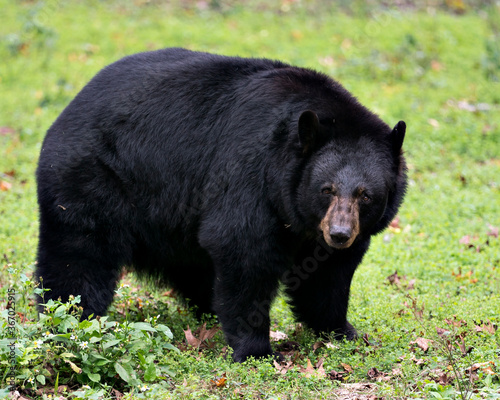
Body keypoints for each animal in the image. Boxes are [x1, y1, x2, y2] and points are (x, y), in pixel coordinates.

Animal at [36, 47, 406, 362]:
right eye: (326, 189)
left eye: (365, 195)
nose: (340, 234)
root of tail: (70, 106)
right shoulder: (250, 173)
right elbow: (243, 247)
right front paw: (257, 350)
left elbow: (327, 275)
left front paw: (343, 331)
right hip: (95, 175)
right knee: (79, 254)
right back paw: (68, 319)